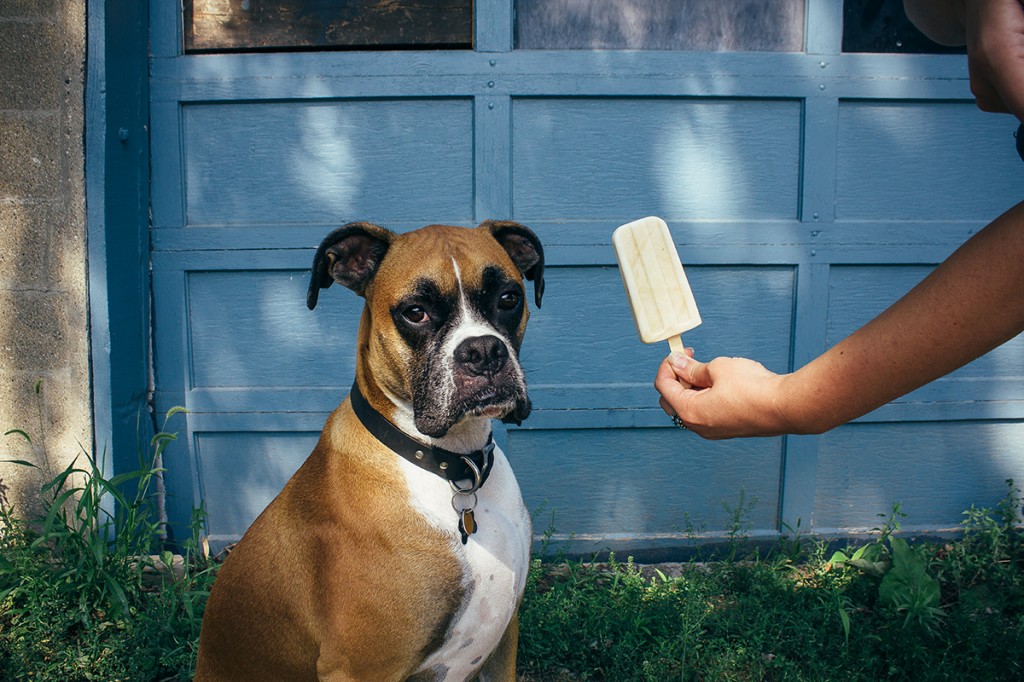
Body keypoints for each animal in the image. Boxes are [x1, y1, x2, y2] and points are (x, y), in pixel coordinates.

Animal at [193, 220, 544, 675]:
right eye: (416, 312)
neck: (455, 467)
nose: (483, 350)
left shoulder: (503, 645)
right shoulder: (358, 667)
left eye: (508, 299)